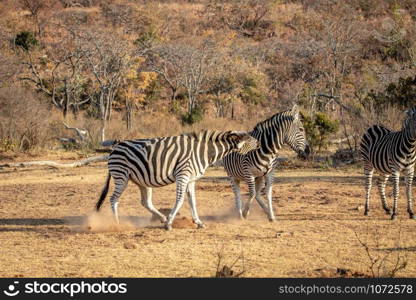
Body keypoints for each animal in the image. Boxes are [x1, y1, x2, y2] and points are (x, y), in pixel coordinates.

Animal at [94, 130, 258, 231]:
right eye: (250, 139)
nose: (259, 143)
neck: (203, 153)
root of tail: (114, 148)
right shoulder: (183, 175)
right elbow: (179, 200)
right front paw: (170, 223)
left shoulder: (191, 179)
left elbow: (192, 202)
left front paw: (198, 222)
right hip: (121, 176)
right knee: (113, 199)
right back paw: (117, 224)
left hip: (140, 180)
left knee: (145, 202)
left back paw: (162, 218)